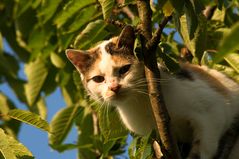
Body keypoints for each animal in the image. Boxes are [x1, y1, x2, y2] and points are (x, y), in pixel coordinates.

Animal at [65, 26, 239, 158]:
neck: (143, 104)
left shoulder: (213, 111)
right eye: (98, 79)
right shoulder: (152, 135)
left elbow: (204, 146)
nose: (114, 87)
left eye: (124, 69)